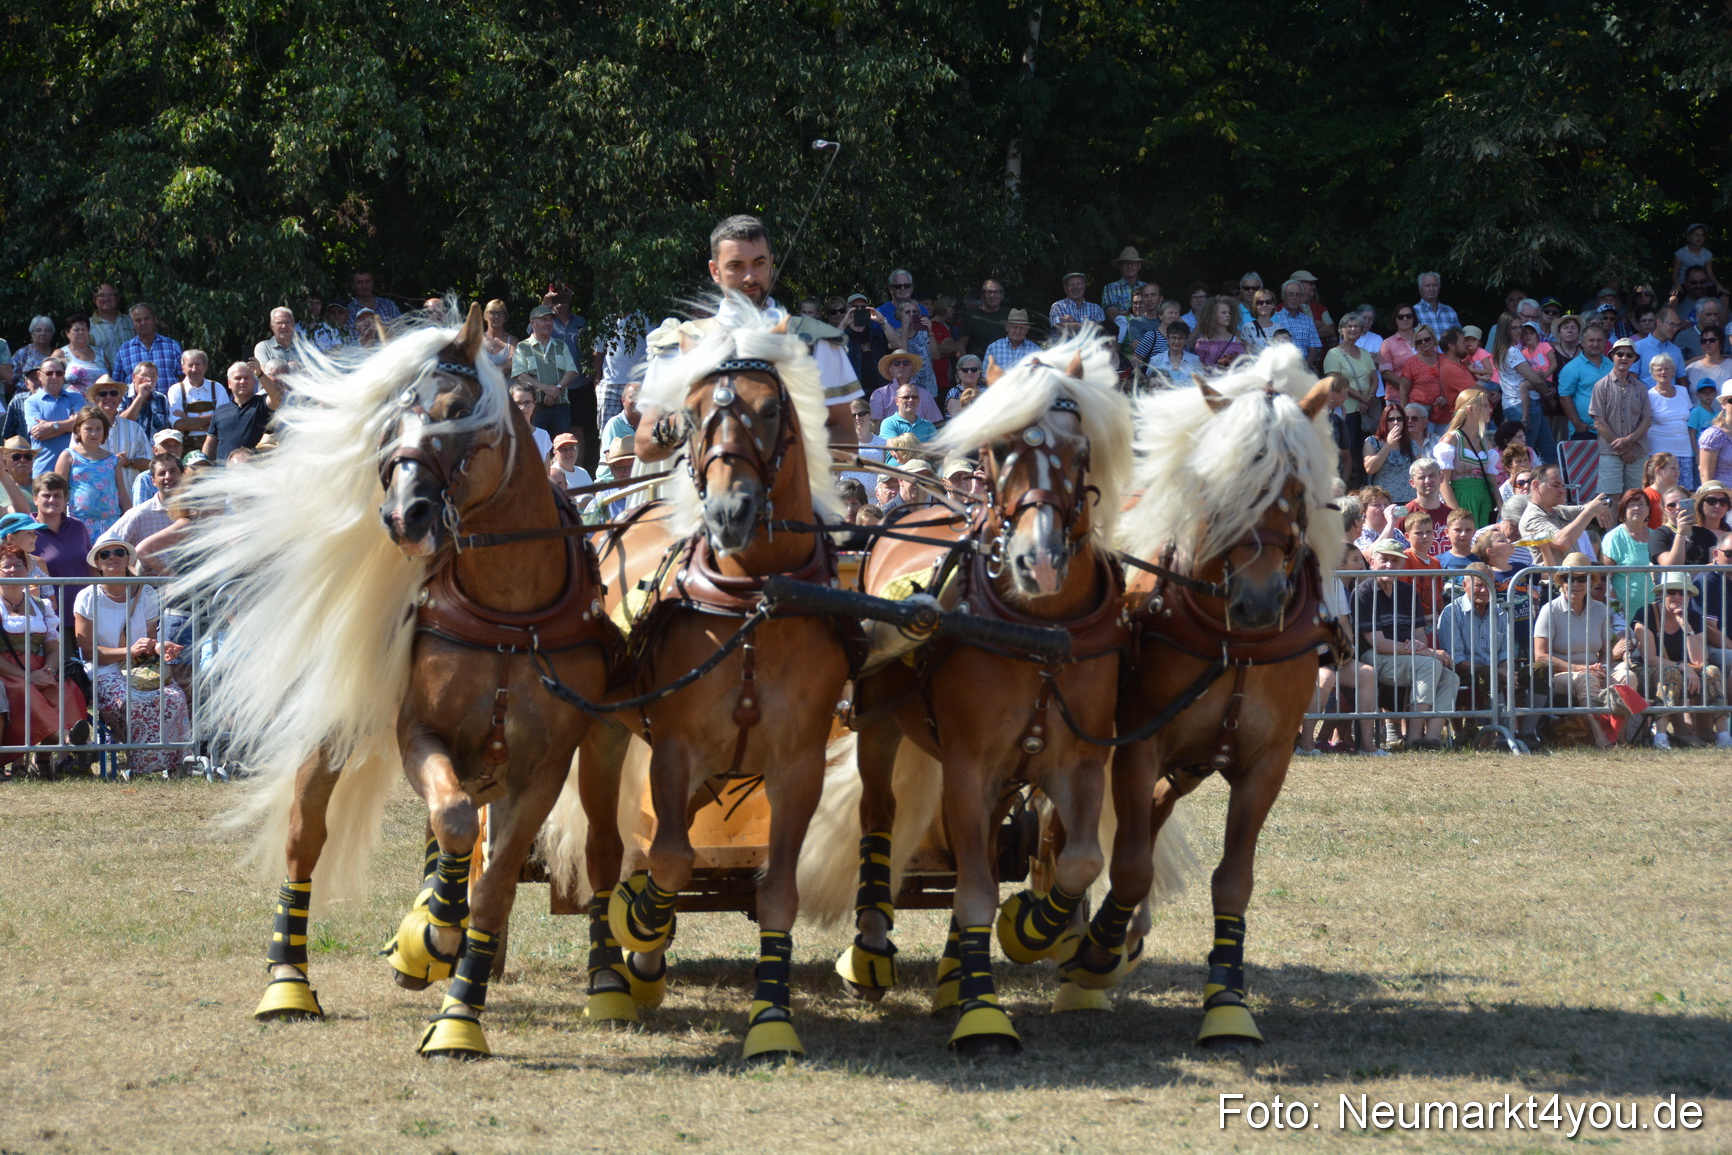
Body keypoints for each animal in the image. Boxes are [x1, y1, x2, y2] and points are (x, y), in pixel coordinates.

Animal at [179, 304, 612, 1058]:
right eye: (389, 420)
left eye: (457, 409)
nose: (402, 515)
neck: (511, 609)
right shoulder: (420, 734)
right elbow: (454, 821)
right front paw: (432, 935)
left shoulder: (544, 766)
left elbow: (494, 880)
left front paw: (460, 1010)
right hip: (331, 740)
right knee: (305, 841)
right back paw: (288, 984)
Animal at [539, 295, 852, 1061]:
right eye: (695, 411)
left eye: (770, 409)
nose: (728, 512)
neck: (752, 602)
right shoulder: (675, 748)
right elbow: (671, 860)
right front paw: (642, 926)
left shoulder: (798, 762)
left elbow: (777, 890)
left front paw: (772, 1018)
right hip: (604, 736)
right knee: (605, 852)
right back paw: (610, 980)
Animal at [803, 329, 1136, 1056]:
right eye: (999, 449)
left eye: (1080, 451)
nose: (1039, 563)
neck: (1038, 628)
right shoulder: (968, 763)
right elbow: (975, 892)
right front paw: (982, 1015)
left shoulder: (1078, 760)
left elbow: (1077, 859)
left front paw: (1031, 927)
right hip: (881, 726)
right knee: (880, 816)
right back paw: (870, 953)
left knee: (978, 851)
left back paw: (957, 971)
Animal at [1058, 345, 1342, 1047]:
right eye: (1222, 484)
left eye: (1296, 488)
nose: (1259, 601)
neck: (1231, 639)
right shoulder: (1135, 743)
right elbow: (1129, 863)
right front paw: (1093, 957)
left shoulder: (1267, 762)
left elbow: (1233, 881)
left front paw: (1227, 997)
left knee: (1152, 812)